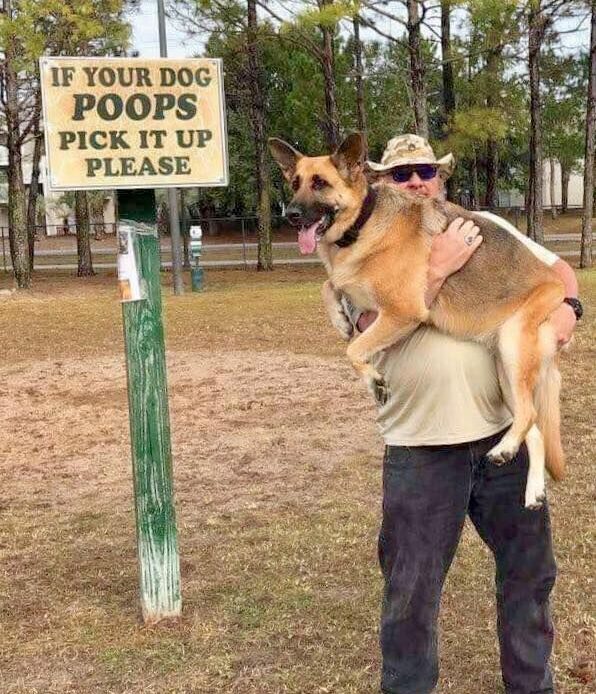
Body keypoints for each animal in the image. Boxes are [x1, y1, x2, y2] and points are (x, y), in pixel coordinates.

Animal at [268, 132, 564, 512]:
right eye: (295, 183)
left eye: (320, 183)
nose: (290, 214)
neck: (362, 224)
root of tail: (557, 285)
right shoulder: (365, 298)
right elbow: (329, 286)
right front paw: (339, 319)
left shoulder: (402, 311)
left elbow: (353, 349)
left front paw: (373, 380)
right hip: (506, 374)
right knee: (535, 430)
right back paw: (531, 488)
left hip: (513, 346)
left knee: (528, 417)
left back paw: (505, 449)